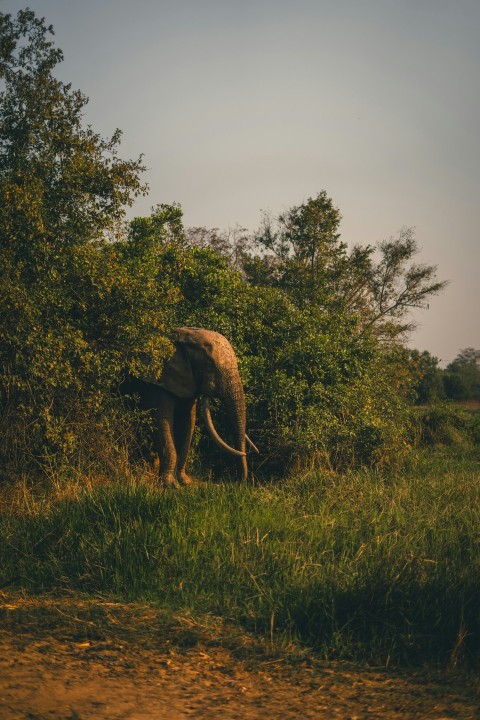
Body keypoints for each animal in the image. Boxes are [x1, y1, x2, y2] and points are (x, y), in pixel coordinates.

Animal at [125, 328, 256, 486]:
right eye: (209, 365)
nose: (237, 481)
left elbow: (188, 422)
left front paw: (185, 482)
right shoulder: (158, 380)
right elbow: (161, 421)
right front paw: (170, 484)